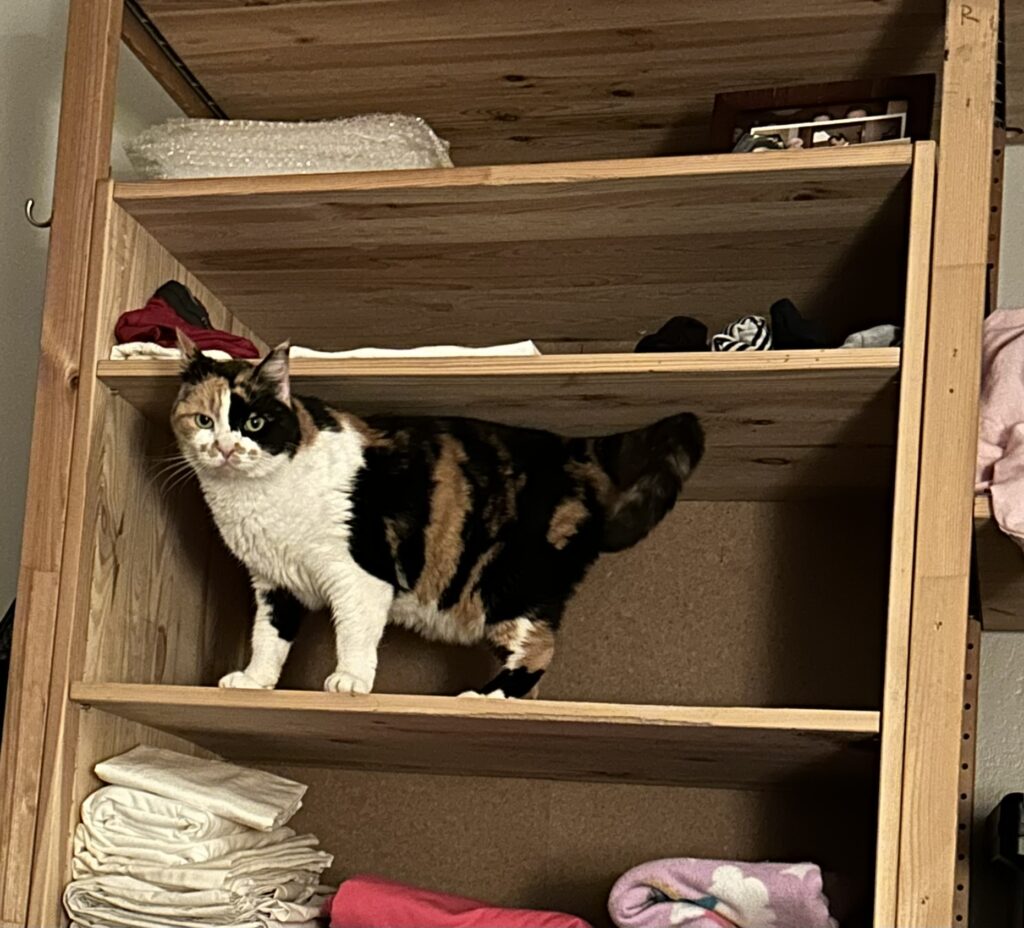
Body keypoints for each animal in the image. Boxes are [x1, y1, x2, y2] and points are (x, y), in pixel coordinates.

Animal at [171, 334, 704, 699]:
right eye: (204, 420)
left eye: (254, 422)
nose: (224, 448)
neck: (256, 500)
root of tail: (574, 448)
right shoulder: (273, 584)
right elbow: (269, 637)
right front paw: (255, 680)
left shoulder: (359, 575)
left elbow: (354, 632)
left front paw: (350, 679)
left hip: (511, 585)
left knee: (538, 649)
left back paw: (485, 697)